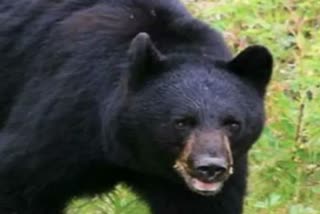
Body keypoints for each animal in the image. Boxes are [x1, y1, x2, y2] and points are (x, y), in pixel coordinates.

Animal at [0, 0, 272, 213]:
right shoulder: (65, 114)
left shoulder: (224, 166)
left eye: (233, 124)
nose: (210, 168)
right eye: (182, 122)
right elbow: (19, 178)